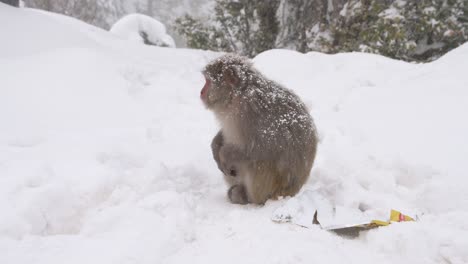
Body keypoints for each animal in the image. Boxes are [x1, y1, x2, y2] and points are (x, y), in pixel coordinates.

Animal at [199, 54, 316, 205]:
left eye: (208, 81)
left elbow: (259, 149)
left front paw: (223, 154)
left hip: (270, 187)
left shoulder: (250, 111)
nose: (201, 92)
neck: (236, 97)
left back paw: (246, 197)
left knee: (256, 162)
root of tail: (293, 192)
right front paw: (215, 146)